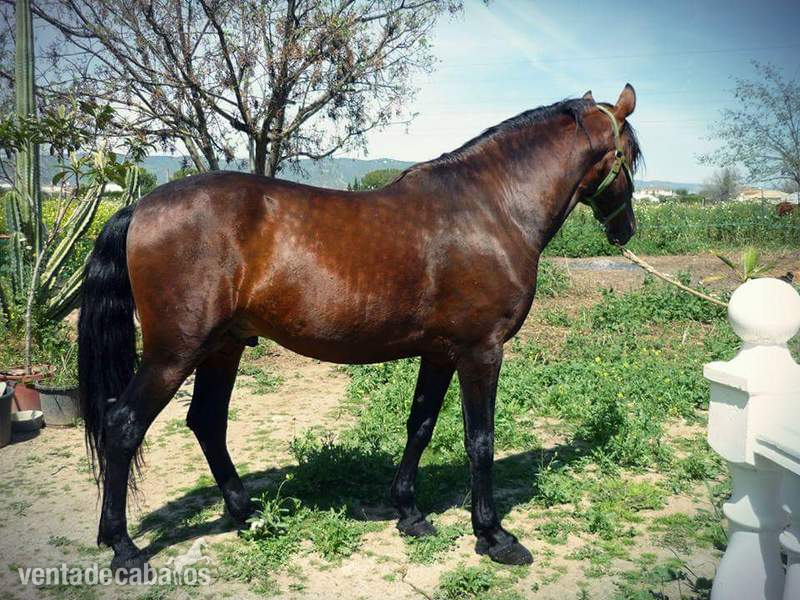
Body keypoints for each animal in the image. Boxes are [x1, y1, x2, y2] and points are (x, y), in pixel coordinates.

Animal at [78, 85, 641, 572]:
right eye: (631, 156)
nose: (626, 229)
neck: (492, 207)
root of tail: (139, 207)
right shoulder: (481, 352)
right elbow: (480, 439)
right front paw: (494, 535)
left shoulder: (441, 352)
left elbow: (421, 424)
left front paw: (409, 513)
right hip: (174, 353)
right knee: (124, 426)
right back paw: (123, 547)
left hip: (223, 346)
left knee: (207, 422)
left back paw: (247, 514)